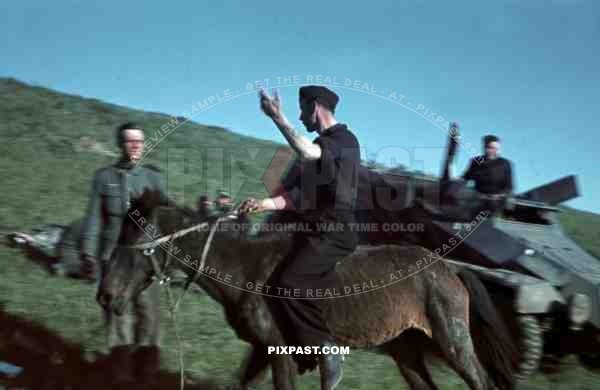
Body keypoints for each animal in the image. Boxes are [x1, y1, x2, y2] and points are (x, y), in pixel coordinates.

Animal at [97, 190, 516, 388]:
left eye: (133, 236)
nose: (105, 296)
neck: (242, 268)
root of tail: (452, 270)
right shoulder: (262, 350)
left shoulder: (280, 353)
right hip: (407, 353)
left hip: (454, 342)